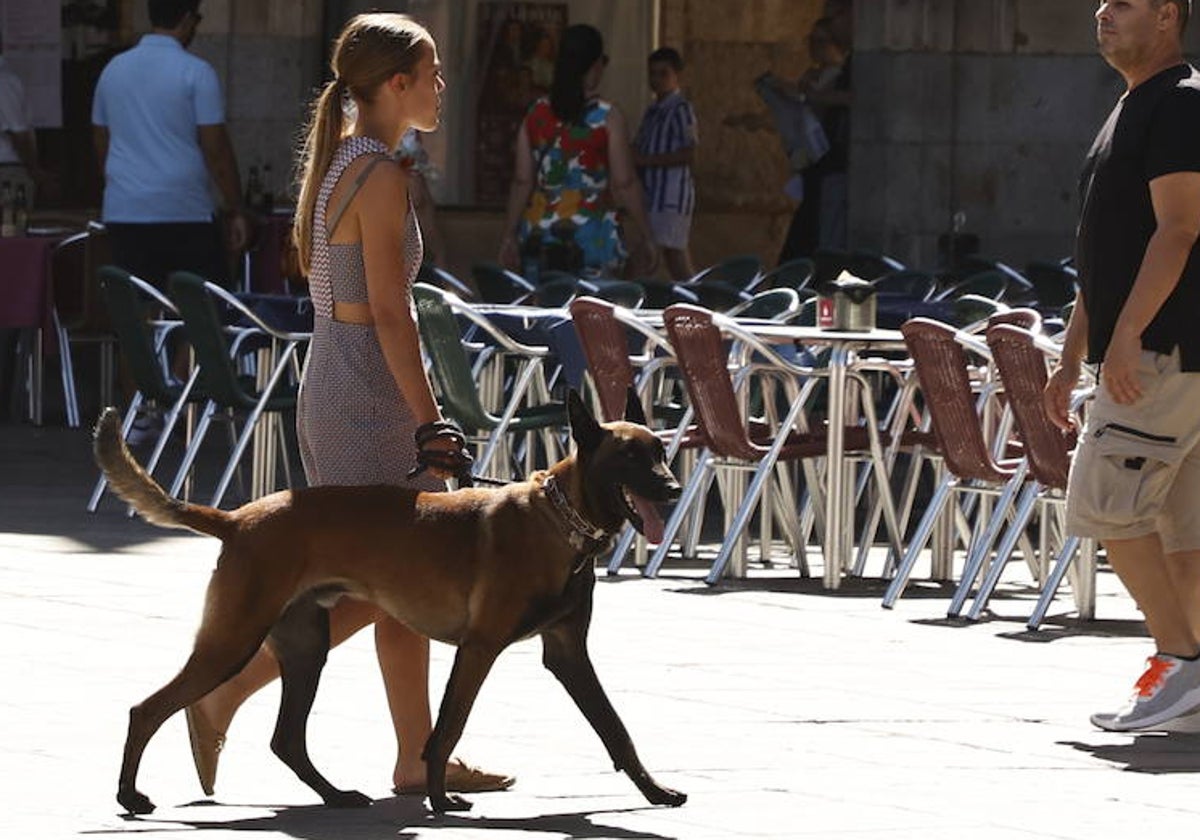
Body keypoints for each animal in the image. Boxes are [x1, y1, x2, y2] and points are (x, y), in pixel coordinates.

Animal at [96, 391, 686, 816]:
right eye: (628, 456)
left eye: (660, 452)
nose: (675, 489)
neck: (560, 520)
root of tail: (237, 519)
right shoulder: (479, 649)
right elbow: (447, 726)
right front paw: (440, 800)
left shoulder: (567, 654)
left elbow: (616, 729)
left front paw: (655, 792)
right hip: (233, 640)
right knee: (146, 709)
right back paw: (129, 796)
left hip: (306, 650)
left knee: (286, 740)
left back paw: (335, 796)